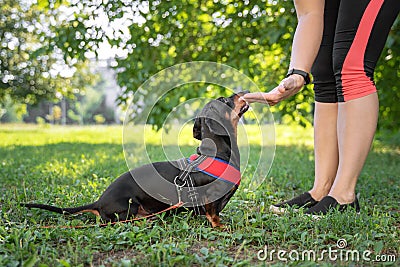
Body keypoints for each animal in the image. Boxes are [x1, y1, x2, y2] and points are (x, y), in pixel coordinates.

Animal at [21, 92, 248, 228]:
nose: (241, 92)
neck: (216, 154)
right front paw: (222, 227)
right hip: (130, 205)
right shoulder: (210, 199)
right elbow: (213, 215)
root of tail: (99, 202)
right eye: (225, 100)